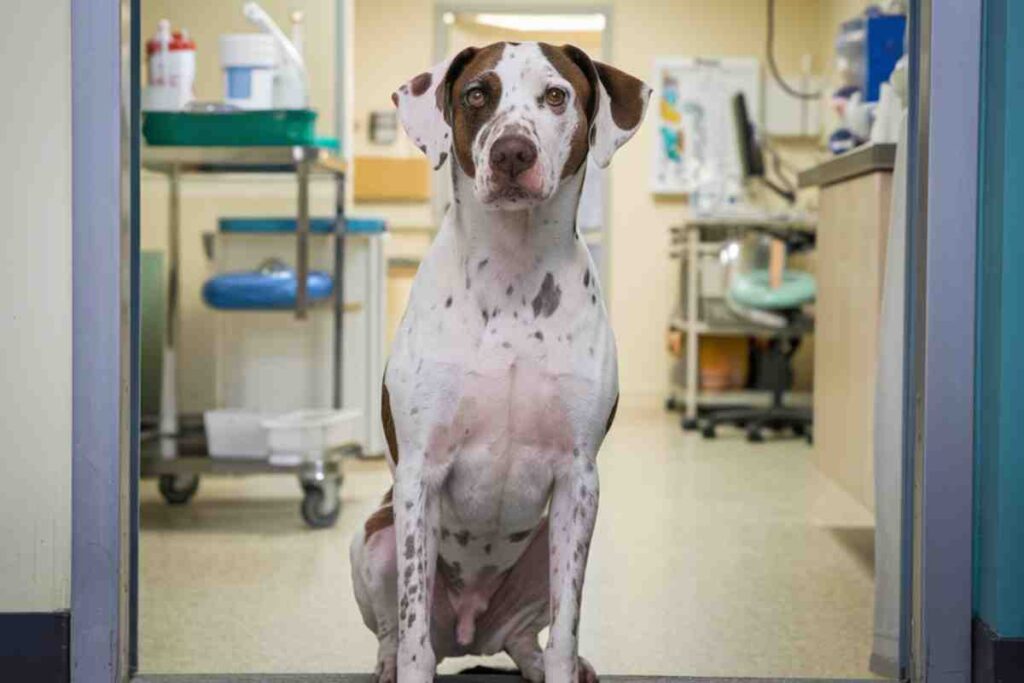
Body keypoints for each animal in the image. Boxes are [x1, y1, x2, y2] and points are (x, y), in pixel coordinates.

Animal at [350, 42, 647, 683]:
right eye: (476, 95)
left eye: (556, 95)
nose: (513, 151)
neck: (513, 270)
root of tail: (469, 632)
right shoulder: (420, 475)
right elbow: (412, 632)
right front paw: (405, 665)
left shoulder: (579, 479)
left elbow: (564, 629)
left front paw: (563, 665)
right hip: (375, 538)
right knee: (396, 631)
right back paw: (387, 663)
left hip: (546, 547)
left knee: (528, 637)